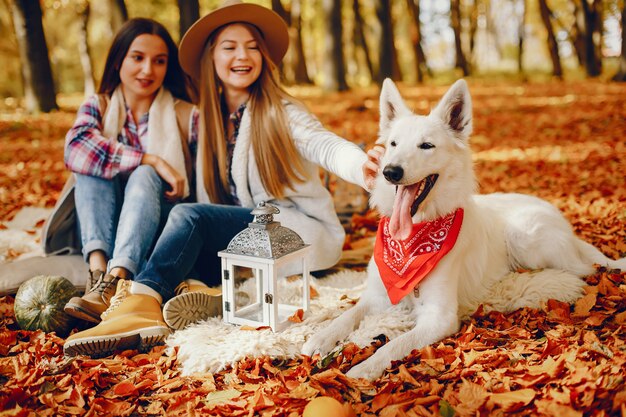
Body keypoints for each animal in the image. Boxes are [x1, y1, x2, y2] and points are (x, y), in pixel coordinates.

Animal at [300, 79, 620, 380]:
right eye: (393, 144)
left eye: (426, 146)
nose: (390, 171)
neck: (413, 238)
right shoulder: (376, 297)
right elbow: (346, 316)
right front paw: (319, 337)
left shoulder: (439, 317)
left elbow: (392, 346)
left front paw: (363, 369)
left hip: (526, 238)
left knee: (580, 270)